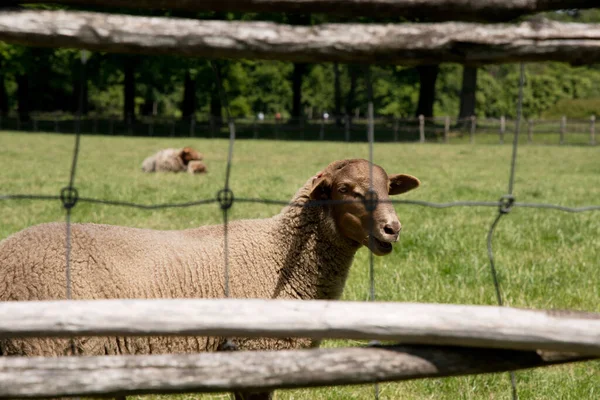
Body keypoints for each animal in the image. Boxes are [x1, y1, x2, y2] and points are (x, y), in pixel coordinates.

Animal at [0, 159, 420, 400]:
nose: (392, 228)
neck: (279, 253)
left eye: (388, 189)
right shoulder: (257, 355)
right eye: (347, 189)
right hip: (44, 353)